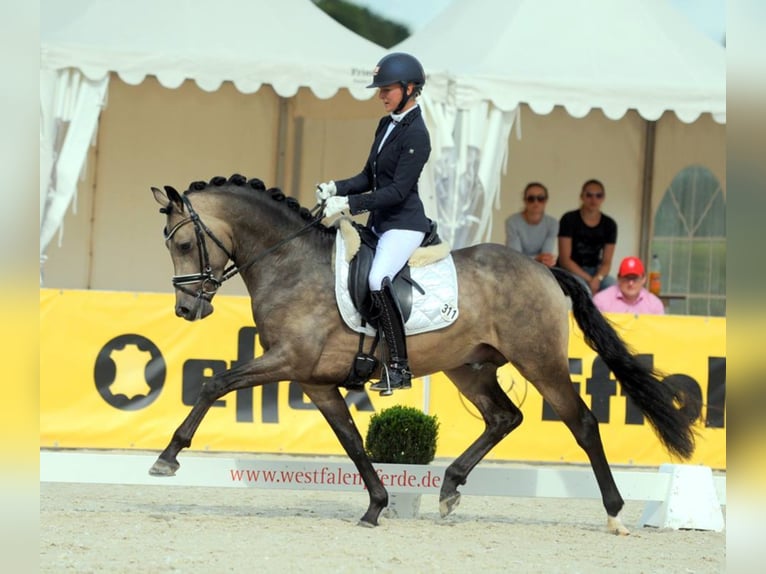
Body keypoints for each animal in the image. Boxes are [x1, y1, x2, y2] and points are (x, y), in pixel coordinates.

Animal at [149, 174, 697, 535]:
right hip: (469, 368)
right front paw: (376, 505)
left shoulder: (288, 360)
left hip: (539, 362)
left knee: (581, 422)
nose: (185, 309)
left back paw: (614, 512)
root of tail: (544, 269)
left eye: (183, 242)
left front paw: (167, 458)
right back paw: (450, 488)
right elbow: (352, 441)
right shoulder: (315, 381)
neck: (289, 262)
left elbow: (215, 383)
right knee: (504, 417)